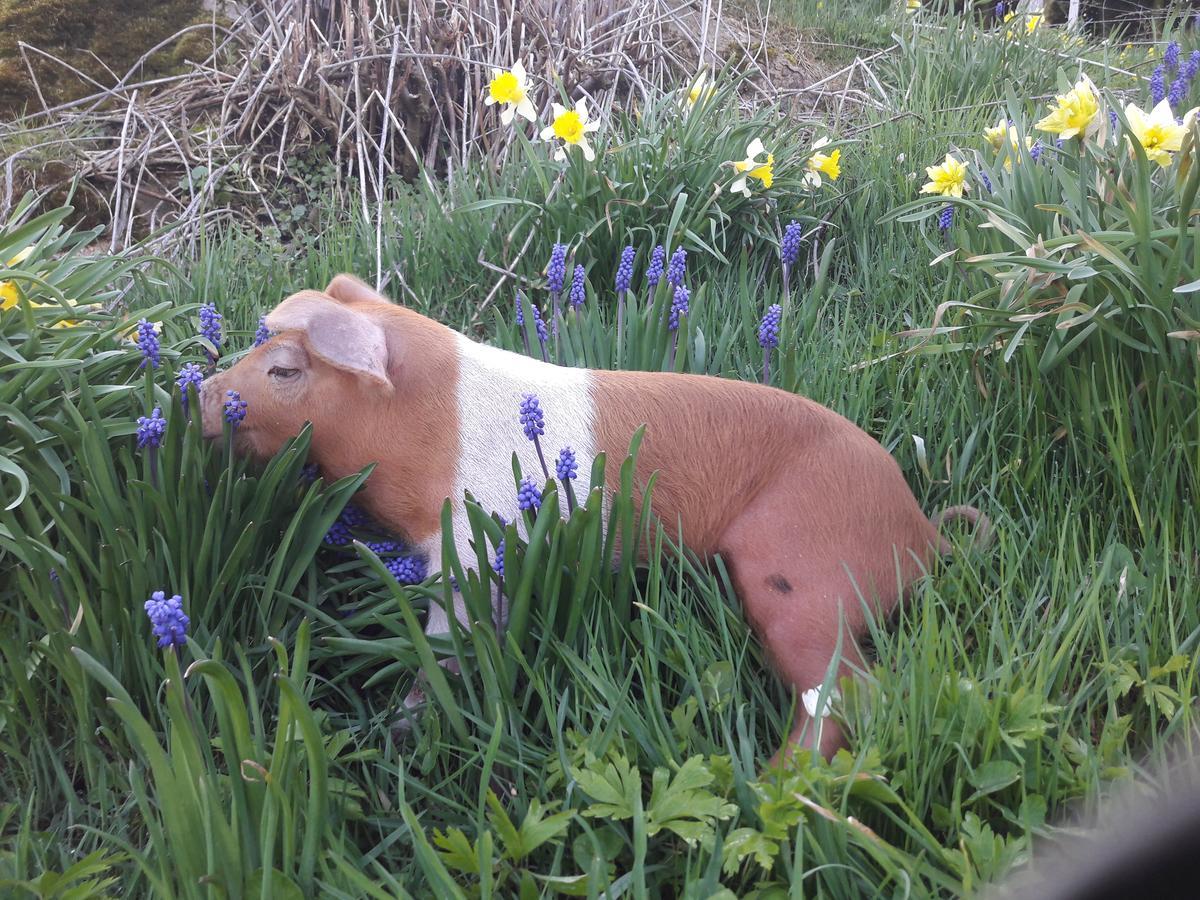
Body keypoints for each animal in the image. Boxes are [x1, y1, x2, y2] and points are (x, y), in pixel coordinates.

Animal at [199, 274, 984, 763]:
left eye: (284, 368)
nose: (201, 395)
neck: (430, 434)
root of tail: (922, 529)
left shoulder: (475, 550)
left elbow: (447, 645)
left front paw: (401, 726)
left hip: (804, 575)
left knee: (849, 693)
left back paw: (768, 785)